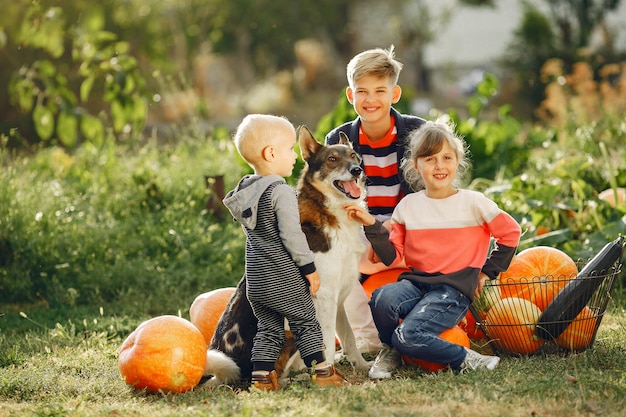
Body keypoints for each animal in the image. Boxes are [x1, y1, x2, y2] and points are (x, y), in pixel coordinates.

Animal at [202, 125, 370, 386]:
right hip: (288, 330)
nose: (357, 171)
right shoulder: (323, 298)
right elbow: (325, 343)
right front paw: (330, 377)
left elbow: (349, 337)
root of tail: (232, 373)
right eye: (332, 159)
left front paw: (361, 366)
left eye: (354, 157)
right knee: (276, 374)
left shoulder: (338, 299)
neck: (328, 211)